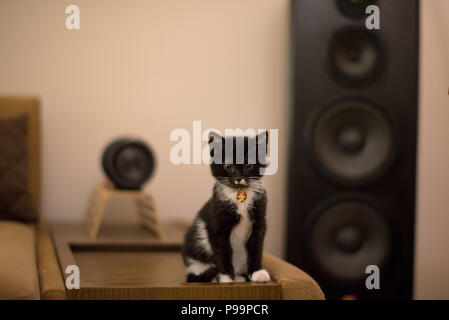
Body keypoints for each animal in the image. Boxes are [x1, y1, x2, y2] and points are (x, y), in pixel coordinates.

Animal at [182, 130, 270, 282]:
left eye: (248, 165)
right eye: (228, 166)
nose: (239, 178)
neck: (239, 193)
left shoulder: (259, 219)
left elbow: (256, 246)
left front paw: (257, 272)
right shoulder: (216, 222)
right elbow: (223, 251)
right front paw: (227, 278)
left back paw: (240, 277)